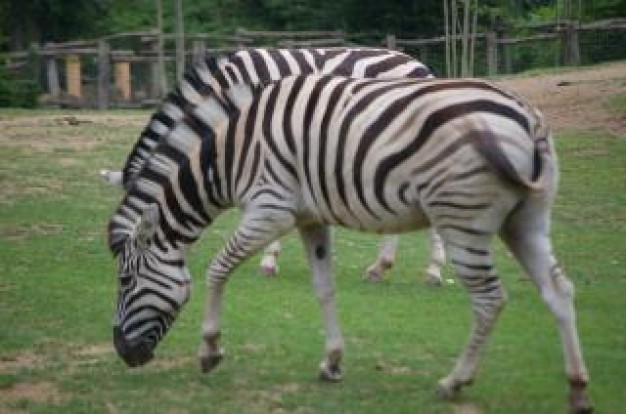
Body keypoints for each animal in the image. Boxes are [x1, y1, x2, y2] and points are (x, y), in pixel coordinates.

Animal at [107, 75, 588, 414]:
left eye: (126, 281)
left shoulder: (270, 207)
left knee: (490, 299)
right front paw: (332, 362)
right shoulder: (310, 217)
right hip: (525, 220)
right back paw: (578, 390)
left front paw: (209, 350)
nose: (123, 354)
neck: (230, 153)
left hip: (461, 217)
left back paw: (454, 382)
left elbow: (217, 269)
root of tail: (526, 116)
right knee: (559, 290)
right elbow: (324, 288)